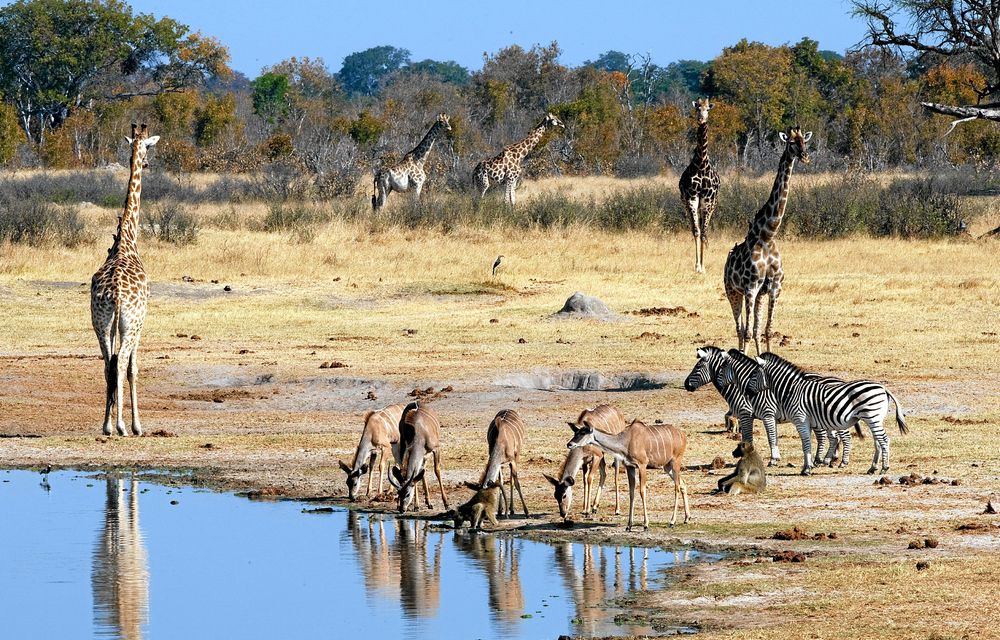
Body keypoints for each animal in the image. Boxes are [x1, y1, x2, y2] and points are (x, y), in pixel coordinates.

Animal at [728, 125, 812, 356]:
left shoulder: (774, 287)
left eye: (805, 141)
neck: (768, 235)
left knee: (754, 328)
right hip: (733, 291)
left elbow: (766, 329)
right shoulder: (750, 287)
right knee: (740, 328)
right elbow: (747, 331)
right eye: (791, 143)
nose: (805, 156)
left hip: (758, 295)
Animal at [752, 352, 908, 472]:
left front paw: (806, 469)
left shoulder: (800, 419)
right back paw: (872, 468)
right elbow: (809, 443)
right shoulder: (807, 421)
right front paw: (810, 465)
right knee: (878, 441)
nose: (748, 392)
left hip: (872, 416)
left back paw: (884, 468)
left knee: (884, 439)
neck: (791, 389)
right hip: (875, 418)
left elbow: (805, 443)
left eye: (754, 374)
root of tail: (883, 388)